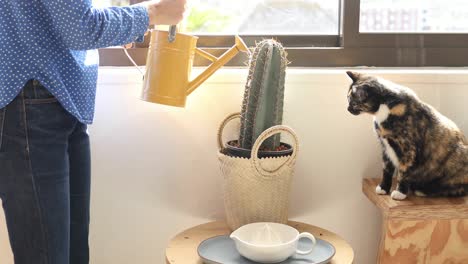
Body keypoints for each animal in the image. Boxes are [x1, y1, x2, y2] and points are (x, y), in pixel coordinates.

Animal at [346, 70, 466, 200]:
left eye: (353, 102)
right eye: (348, 99)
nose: (347, 109)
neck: (384, 108)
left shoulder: (407, 149)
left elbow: (404, 172)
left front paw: (400, 193)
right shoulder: (385, 147)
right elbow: (386, 170)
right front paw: (383, 188)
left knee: (458, 189)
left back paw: (423, 190)